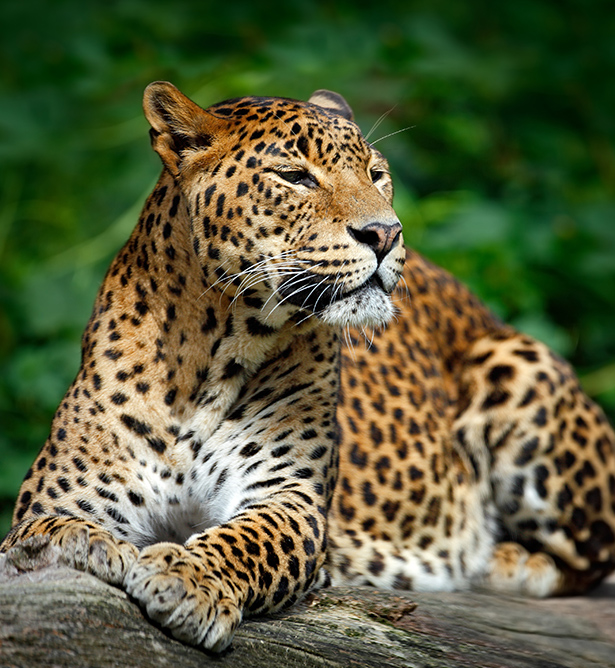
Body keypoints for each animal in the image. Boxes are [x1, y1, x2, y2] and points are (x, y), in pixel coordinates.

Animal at [2, 82, 614, 653]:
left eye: (376, 174)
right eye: (295, 176)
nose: (385, 233)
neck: (208, 355)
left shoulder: (290, 498)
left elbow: (247, 540)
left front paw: (187, 578)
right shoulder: (58, 495)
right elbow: (44, 529)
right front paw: (84, 545)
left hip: (520, 365)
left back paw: (505, 560)